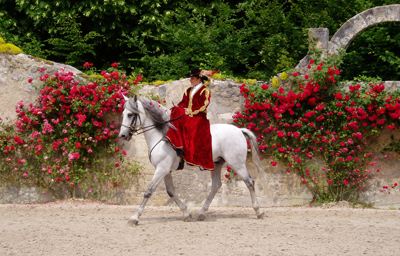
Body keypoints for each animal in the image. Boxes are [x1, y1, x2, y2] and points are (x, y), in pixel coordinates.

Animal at [119, 95, 266, 225]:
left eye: (130, 114)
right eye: (123, 113)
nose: (122, 135)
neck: (161, 137)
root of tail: (239, 130)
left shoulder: (161, 169)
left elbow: (148, 192)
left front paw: (135, 217)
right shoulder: (166, 171)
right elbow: (171, 192)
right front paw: (186, 214)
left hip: (237, 164)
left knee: (249, 182)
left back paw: (258, 211)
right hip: (217, 164)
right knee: (216, 186)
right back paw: (202, 213)